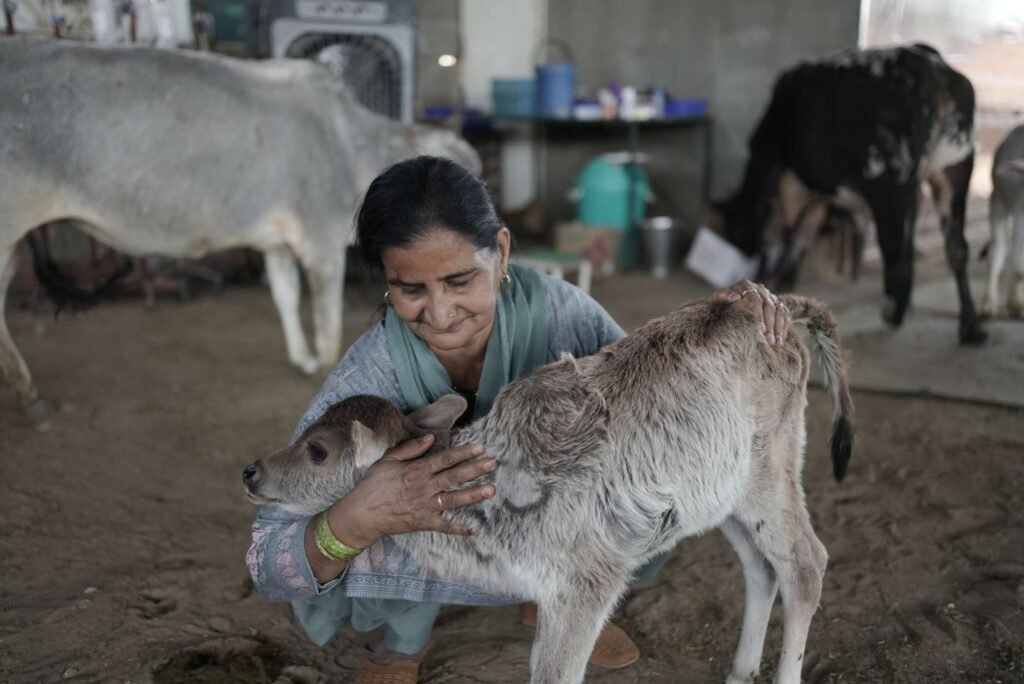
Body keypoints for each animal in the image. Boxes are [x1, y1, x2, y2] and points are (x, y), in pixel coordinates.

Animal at [0, 36, 480, 412]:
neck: (354, 143)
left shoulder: (278, 242)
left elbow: (286, 297)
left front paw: (301, 358)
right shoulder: (322, 239)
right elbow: (327, 321)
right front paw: (325, 365)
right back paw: (29, 394)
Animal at [719, 44, 986, 345]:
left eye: (733, 226)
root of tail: (935, 70)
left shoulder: (772, 172)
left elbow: (778, 235)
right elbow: (801, 237)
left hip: (891, 180)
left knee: (897, 252)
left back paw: (893, 311)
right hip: (957, 167)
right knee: (956, 248)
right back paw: (970, 327)